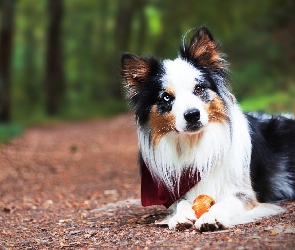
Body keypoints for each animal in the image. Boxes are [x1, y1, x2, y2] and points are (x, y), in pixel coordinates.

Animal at [121, 26, 295, 231]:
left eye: (198, 89)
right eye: (166, 97)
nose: (192, 115)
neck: (195, 143)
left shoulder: (244, 192)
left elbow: (226, 203)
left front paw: (212, 217)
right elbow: (181, 203)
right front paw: (180, 216)